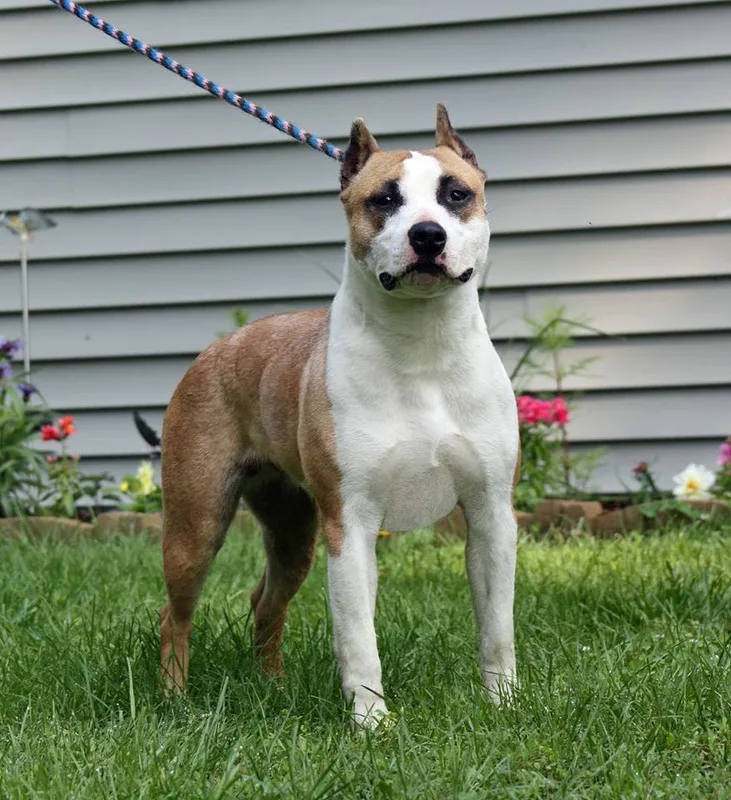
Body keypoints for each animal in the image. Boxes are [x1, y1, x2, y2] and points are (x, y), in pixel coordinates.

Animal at [159, 105, 520, 729]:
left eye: (456, 194)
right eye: (384, 199)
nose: (428, 235)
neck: (422, 345)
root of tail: (217, 349)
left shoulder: (492, 515)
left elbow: (496, 627)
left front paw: (506, 705)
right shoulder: (349, 525)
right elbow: (358, 637)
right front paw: (371, 723)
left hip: (291, 531)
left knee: (264, 601)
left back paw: (272, 687)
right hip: (195, 525)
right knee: (174, 616)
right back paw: (175, 702)